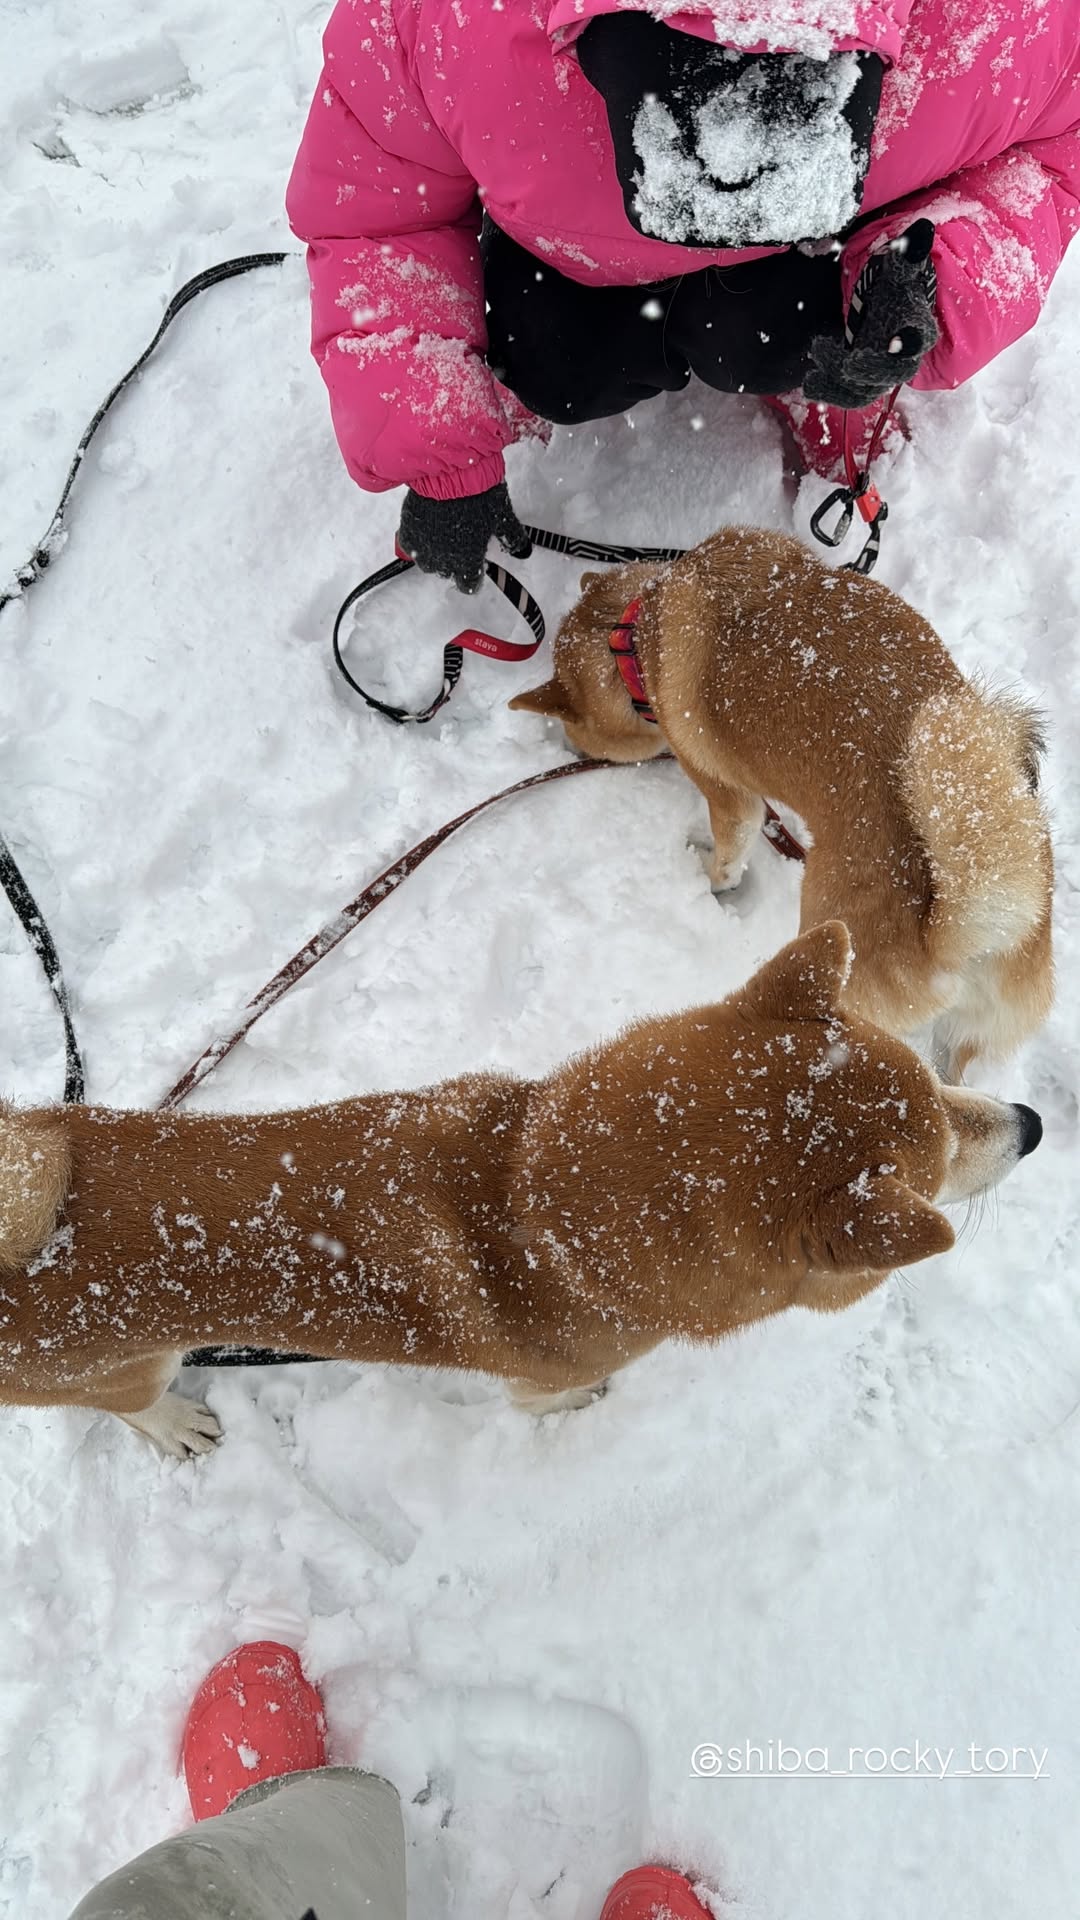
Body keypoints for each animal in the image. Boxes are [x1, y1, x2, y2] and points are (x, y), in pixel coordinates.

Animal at [0, 929, 1037, 1451]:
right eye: (943, 1161)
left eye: (940, 1081)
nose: (1030, 1124)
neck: (531, 1199)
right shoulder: (543, 1381)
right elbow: (560, 1400)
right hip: (125, 1365)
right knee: (128, 1405)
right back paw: (174, 1425)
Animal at [507, 529, 1053, 1082]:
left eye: (575, 727)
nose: (571, 752)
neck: (634, 631)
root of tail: (948, 934)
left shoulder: (728, 797)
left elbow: (729, 857)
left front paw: (713, 882)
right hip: (969, 1044)